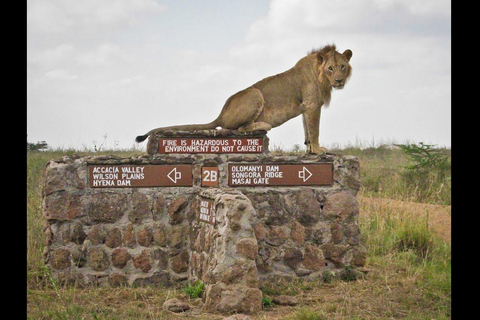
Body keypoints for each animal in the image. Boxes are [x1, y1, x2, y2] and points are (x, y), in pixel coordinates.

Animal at [135, 44, 352, 154]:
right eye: (330, 68)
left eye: (342, 66)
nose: (339, 80)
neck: (321, 77)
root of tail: (221, 114)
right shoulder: (313, 105)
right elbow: (315, 129)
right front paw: (318, 149)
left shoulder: (306, 107)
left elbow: (307, 129)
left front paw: (309, 149)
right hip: (255, 94)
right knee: (237, 128)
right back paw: (263, 125)